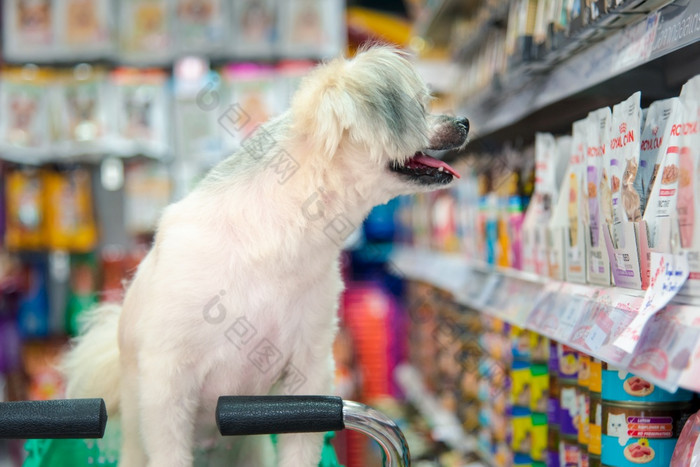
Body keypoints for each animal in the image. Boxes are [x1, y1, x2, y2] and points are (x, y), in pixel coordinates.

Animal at [63, 44, 470, 467]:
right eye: (419, 107)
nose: (464, 120)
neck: (276, 243)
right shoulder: (167, 385)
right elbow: (169, 450)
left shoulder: (308, 376)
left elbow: (300, 451)